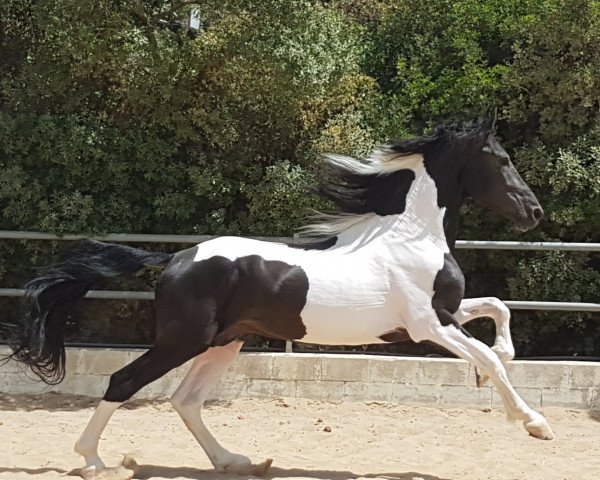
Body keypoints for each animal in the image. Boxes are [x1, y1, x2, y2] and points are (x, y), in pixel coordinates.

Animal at [3, 124, 552, 476]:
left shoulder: (443, 314)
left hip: (225, 342)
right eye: (502, 160)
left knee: (186, 400)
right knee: (124, 382)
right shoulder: (428, 325)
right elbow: (492, 358)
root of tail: (177, 258)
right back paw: (93, 461)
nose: (534, 213)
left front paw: (498, 360)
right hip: (185, 339)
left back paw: (234, 462)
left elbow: (497, 310)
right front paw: (534, 424)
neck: (412, 238)